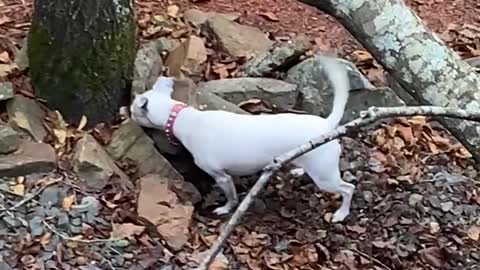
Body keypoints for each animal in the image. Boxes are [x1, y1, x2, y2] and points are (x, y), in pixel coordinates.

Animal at [129, 56, 354, 221]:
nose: (126, 112)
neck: (184, 118)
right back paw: (298, 169)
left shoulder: (221, 176)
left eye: (133, 110)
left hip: (325, 178)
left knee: (348, 189)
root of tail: (326, 125)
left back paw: (341, 214)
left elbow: (231, 197)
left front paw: (225, 208)